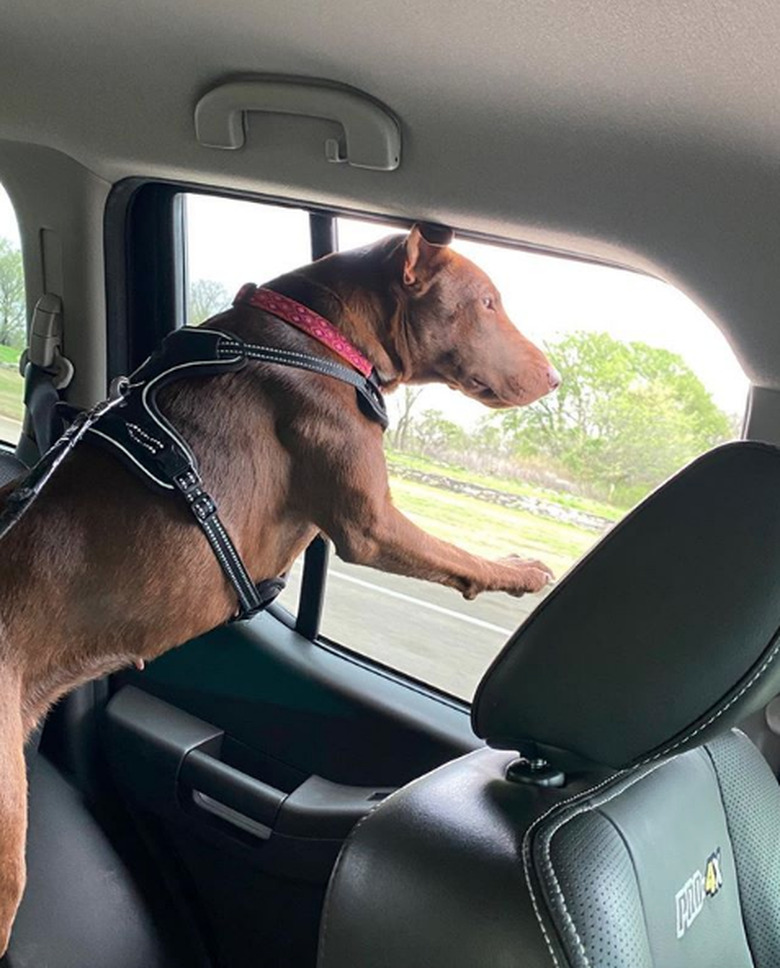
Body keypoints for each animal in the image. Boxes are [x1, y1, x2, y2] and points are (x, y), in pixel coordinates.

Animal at [0, 223, 556, 948]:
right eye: (488, 303)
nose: (555, 375)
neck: (318, 334)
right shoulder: (371, 525)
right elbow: (456, 553)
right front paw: (522, 570)